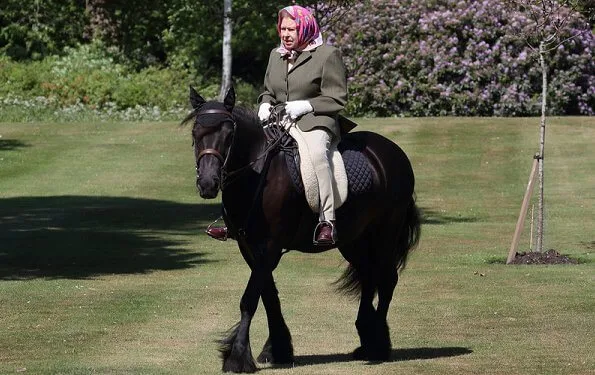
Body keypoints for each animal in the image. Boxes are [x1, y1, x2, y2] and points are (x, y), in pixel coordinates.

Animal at [184, 87, 422, 374]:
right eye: (196, 133)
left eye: (230, 135)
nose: (208, 184)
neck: (257, 173)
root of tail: (393, 152)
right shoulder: (249, 247)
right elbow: (268, 295)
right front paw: (277, 349)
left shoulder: (270, 246)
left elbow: (250, 299)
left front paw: (238, 356)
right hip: (353, 239)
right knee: (368, 276)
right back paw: (366, 339)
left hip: (385, 232)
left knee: (386, 280)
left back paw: (378, 345)